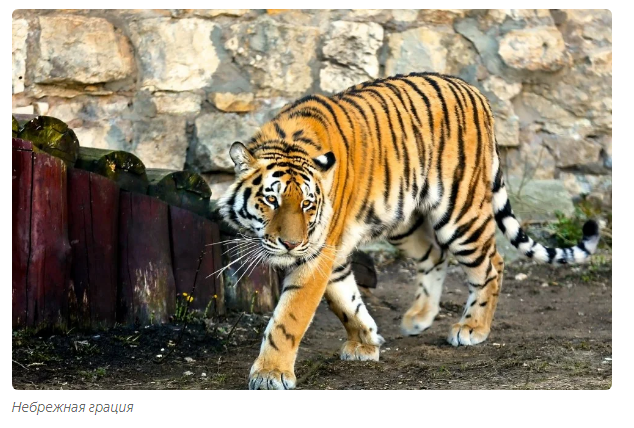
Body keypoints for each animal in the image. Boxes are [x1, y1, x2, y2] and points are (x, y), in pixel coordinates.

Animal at [216, 72, 596, 390]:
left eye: (308, 204)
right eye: (272, 200)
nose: (291, 244)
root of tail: (474, 91)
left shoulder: (316, 253)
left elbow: (289, 317)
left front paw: (271, 373)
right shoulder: (330, 253)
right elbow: (344, 300)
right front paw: (366, 341)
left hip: (460, 211)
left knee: (492, 264)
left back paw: (472, 328)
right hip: (403, 218)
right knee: (435, 256)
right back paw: (419, 318)